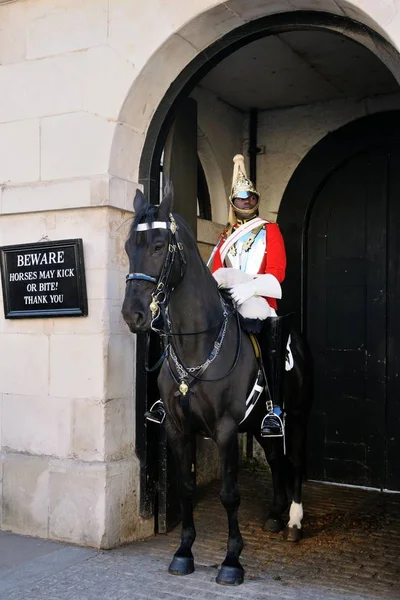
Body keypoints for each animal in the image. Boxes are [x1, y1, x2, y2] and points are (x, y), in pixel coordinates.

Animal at [122, 186, 312, 584]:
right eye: (130, 245)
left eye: (159, 245)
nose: (133, 314)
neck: (198, 343)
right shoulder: (177, 428)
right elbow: (186, 487)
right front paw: (183, 552)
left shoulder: (225, 430)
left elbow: (229, 493)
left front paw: (232, 560)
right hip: (258, 425)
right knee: (275, 459)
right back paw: (275, 514)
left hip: (299, 416)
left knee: (296, 462)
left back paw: (294, 522)